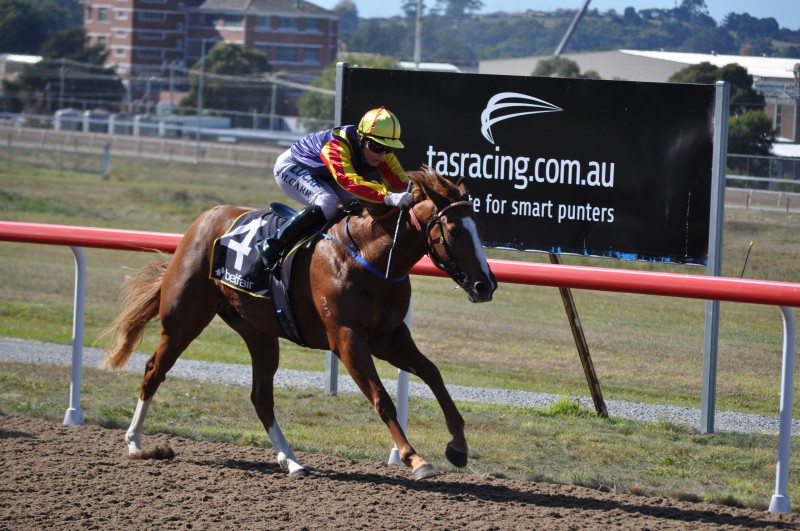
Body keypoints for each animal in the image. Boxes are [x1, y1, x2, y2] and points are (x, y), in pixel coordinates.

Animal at [103, 167, 496, 482]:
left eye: (479, 228)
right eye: (454, 231)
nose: (486, 285)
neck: (369, 256)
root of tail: (203, 220)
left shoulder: (388, 336)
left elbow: (433, 374)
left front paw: (458, 446)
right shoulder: (347, 339)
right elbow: (381, 398)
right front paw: (415, 459)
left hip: (259, 333)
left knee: (261, 396)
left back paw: (291, 461)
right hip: (184, 319)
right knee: (154, 370)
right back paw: (135, 443)